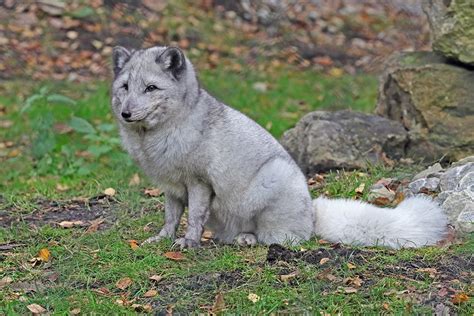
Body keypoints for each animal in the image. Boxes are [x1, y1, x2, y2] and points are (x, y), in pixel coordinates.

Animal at [111, 46, 448, 249]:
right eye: (125, 87)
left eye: (151, 88)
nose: (126, 113)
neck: (155, 137)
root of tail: (312, 213)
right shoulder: (171, 187)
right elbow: (170, 217)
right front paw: (162, 239)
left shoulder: (198, 183)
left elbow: (193, 217)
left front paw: (188, 243)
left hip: (273, 179)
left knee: (278, 238)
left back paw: (250, 239)